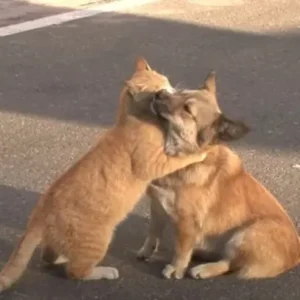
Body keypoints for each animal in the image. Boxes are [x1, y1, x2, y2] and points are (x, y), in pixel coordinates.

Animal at [0, 64, 206, 292]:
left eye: (167, 82)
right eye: (158, 91)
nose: (171, 91)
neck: (132, 118)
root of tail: (40, 211)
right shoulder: (155, 164)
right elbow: (181, 158)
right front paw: (200, 152)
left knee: (48, 256)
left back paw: (62, 257)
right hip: (98, 240)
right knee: (76, 272)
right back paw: (104, 271)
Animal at [138, 74, 300, 280]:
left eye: (187, 110)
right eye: (180, 91)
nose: (159, 93)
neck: (184, 160)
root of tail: (296, 255)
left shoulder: (187, 223)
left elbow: (181, 250)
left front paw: (176, 268)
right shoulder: (157, 206)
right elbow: (153, 232)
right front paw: (147, 250)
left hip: (246, 234)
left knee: (229, 263)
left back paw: (204, 268)